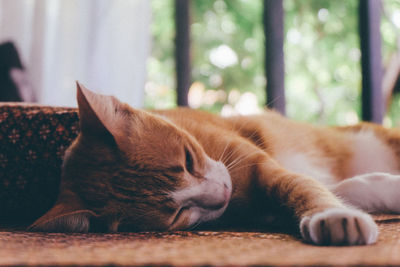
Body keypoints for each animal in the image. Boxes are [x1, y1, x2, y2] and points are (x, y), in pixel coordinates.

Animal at [28, 84, 400, 247]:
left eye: (188, 160)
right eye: (177, 214)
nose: (222, 192)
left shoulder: (266, 168)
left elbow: (306, 189)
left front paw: (335, 216)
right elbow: (344, 187)